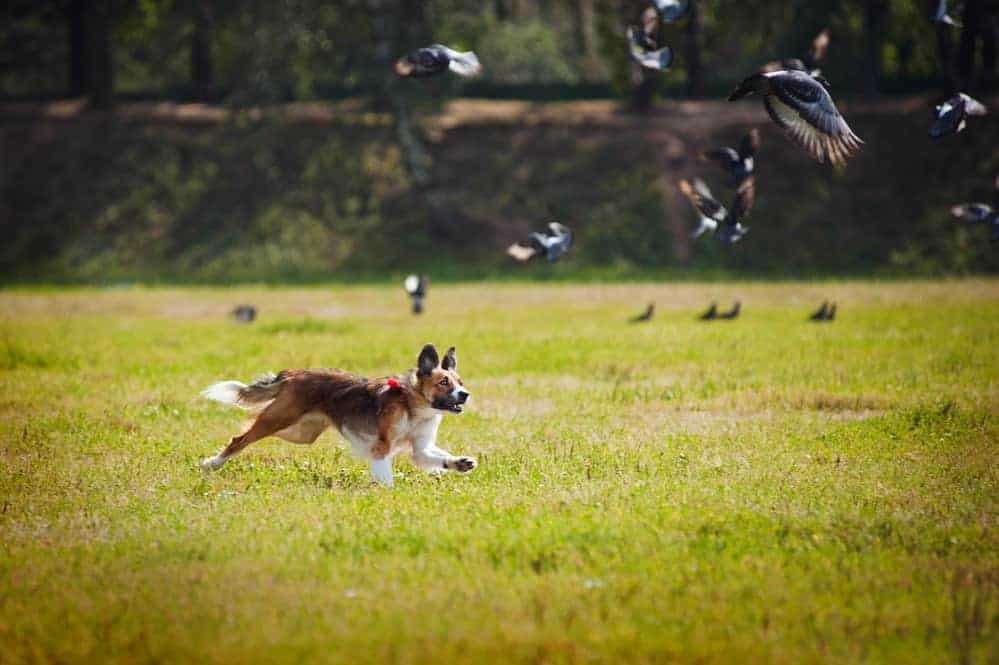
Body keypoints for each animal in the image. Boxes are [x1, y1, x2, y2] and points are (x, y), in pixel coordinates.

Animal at [200, 342, 476, 482]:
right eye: (444, 382)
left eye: (460, 382)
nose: (465, 394)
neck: (413, 405)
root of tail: (293, 375)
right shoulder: (381, 446)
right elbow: (385, 476)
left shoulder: (421, 447)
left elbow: (437, 456)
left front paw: (460, 463)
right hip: (277, 419)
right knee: (240, 438)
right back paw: (211, 464)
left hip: (300, 433)